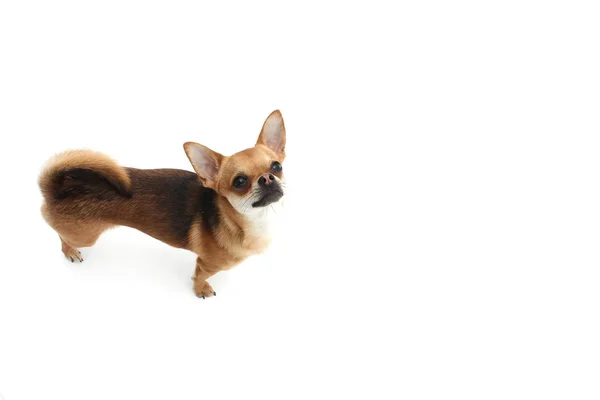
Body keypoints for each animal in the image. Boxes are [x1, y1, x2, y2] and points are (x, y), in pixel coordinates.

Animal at [38, 111, 288, 298]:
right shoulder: (206, 264)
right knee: (62, 237)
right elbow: (199, 276)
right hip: (85, 237)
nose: (267, 178)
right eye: (239, 182)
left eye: (276, 166)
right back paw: (70, 252)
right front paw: (200, 289)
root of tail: (57, 188)